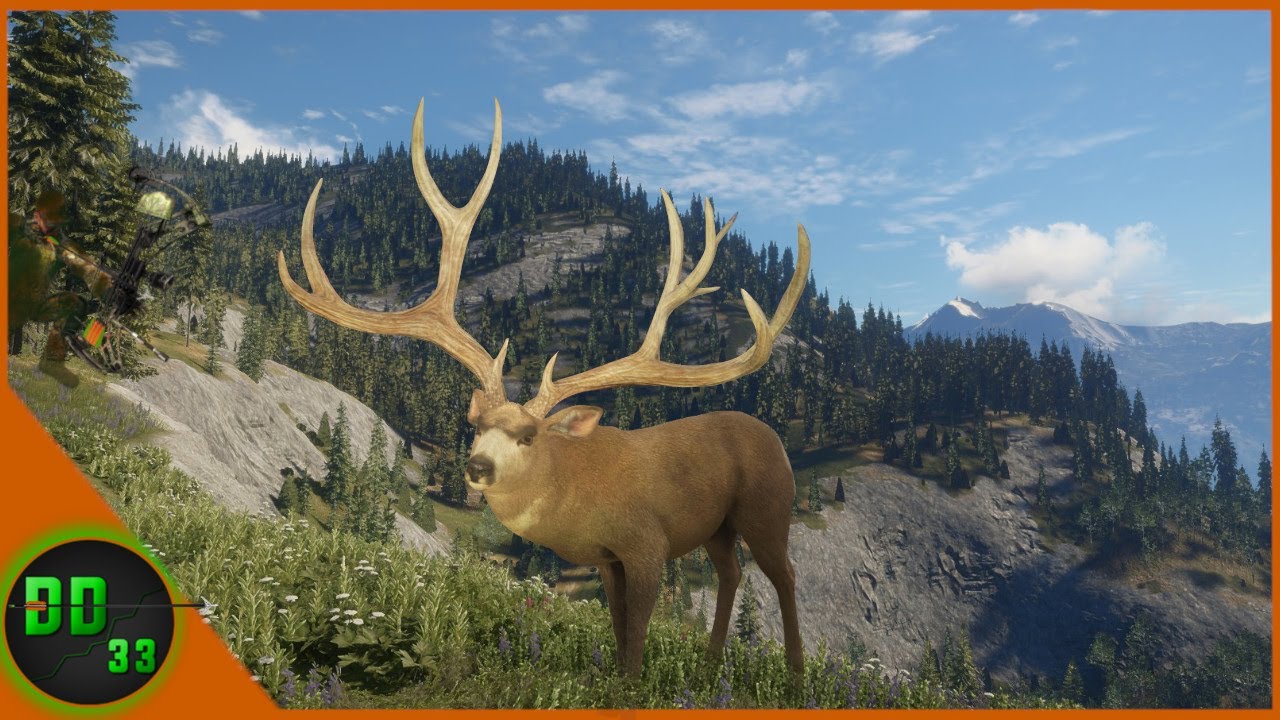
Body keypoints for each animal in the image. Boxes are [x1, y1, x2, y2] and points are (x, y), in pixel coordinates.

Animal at [278, 98, 810, 677]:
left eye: (528, 436)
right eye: (475, 424)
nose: (477, 466)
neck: (577, 494)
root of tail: (774, 437)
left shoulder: (646, 544)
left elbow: (638, 634)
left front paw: (632, 685)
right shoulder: (608, 559)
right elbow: (619, 628)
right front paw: (614, 679)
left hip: (767, 508)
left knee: (783, 575)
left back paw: (795, 673)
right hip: (717, 528)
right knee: (731, 573)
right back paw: (712, 665)